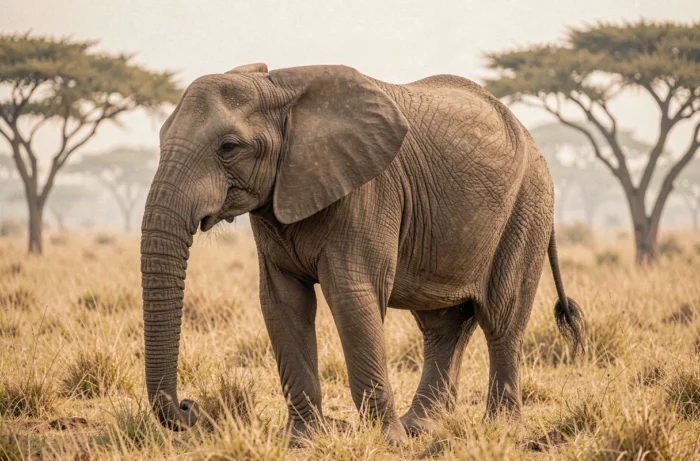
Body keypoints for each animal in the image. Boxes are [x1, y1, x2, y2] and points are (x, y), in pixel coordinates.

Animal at [141, 62, 585, 445]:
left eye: (228, 147)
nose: (189, 407)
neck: (282, 89)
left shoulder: (368, 192)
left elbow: (352, 297)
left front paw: (387, 441)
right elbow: (282, 302)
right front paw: (303, 440)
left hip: (527, 207)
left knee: (501, 318)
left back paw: (499, 430)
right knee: (443, 324)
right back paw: (420, 427)